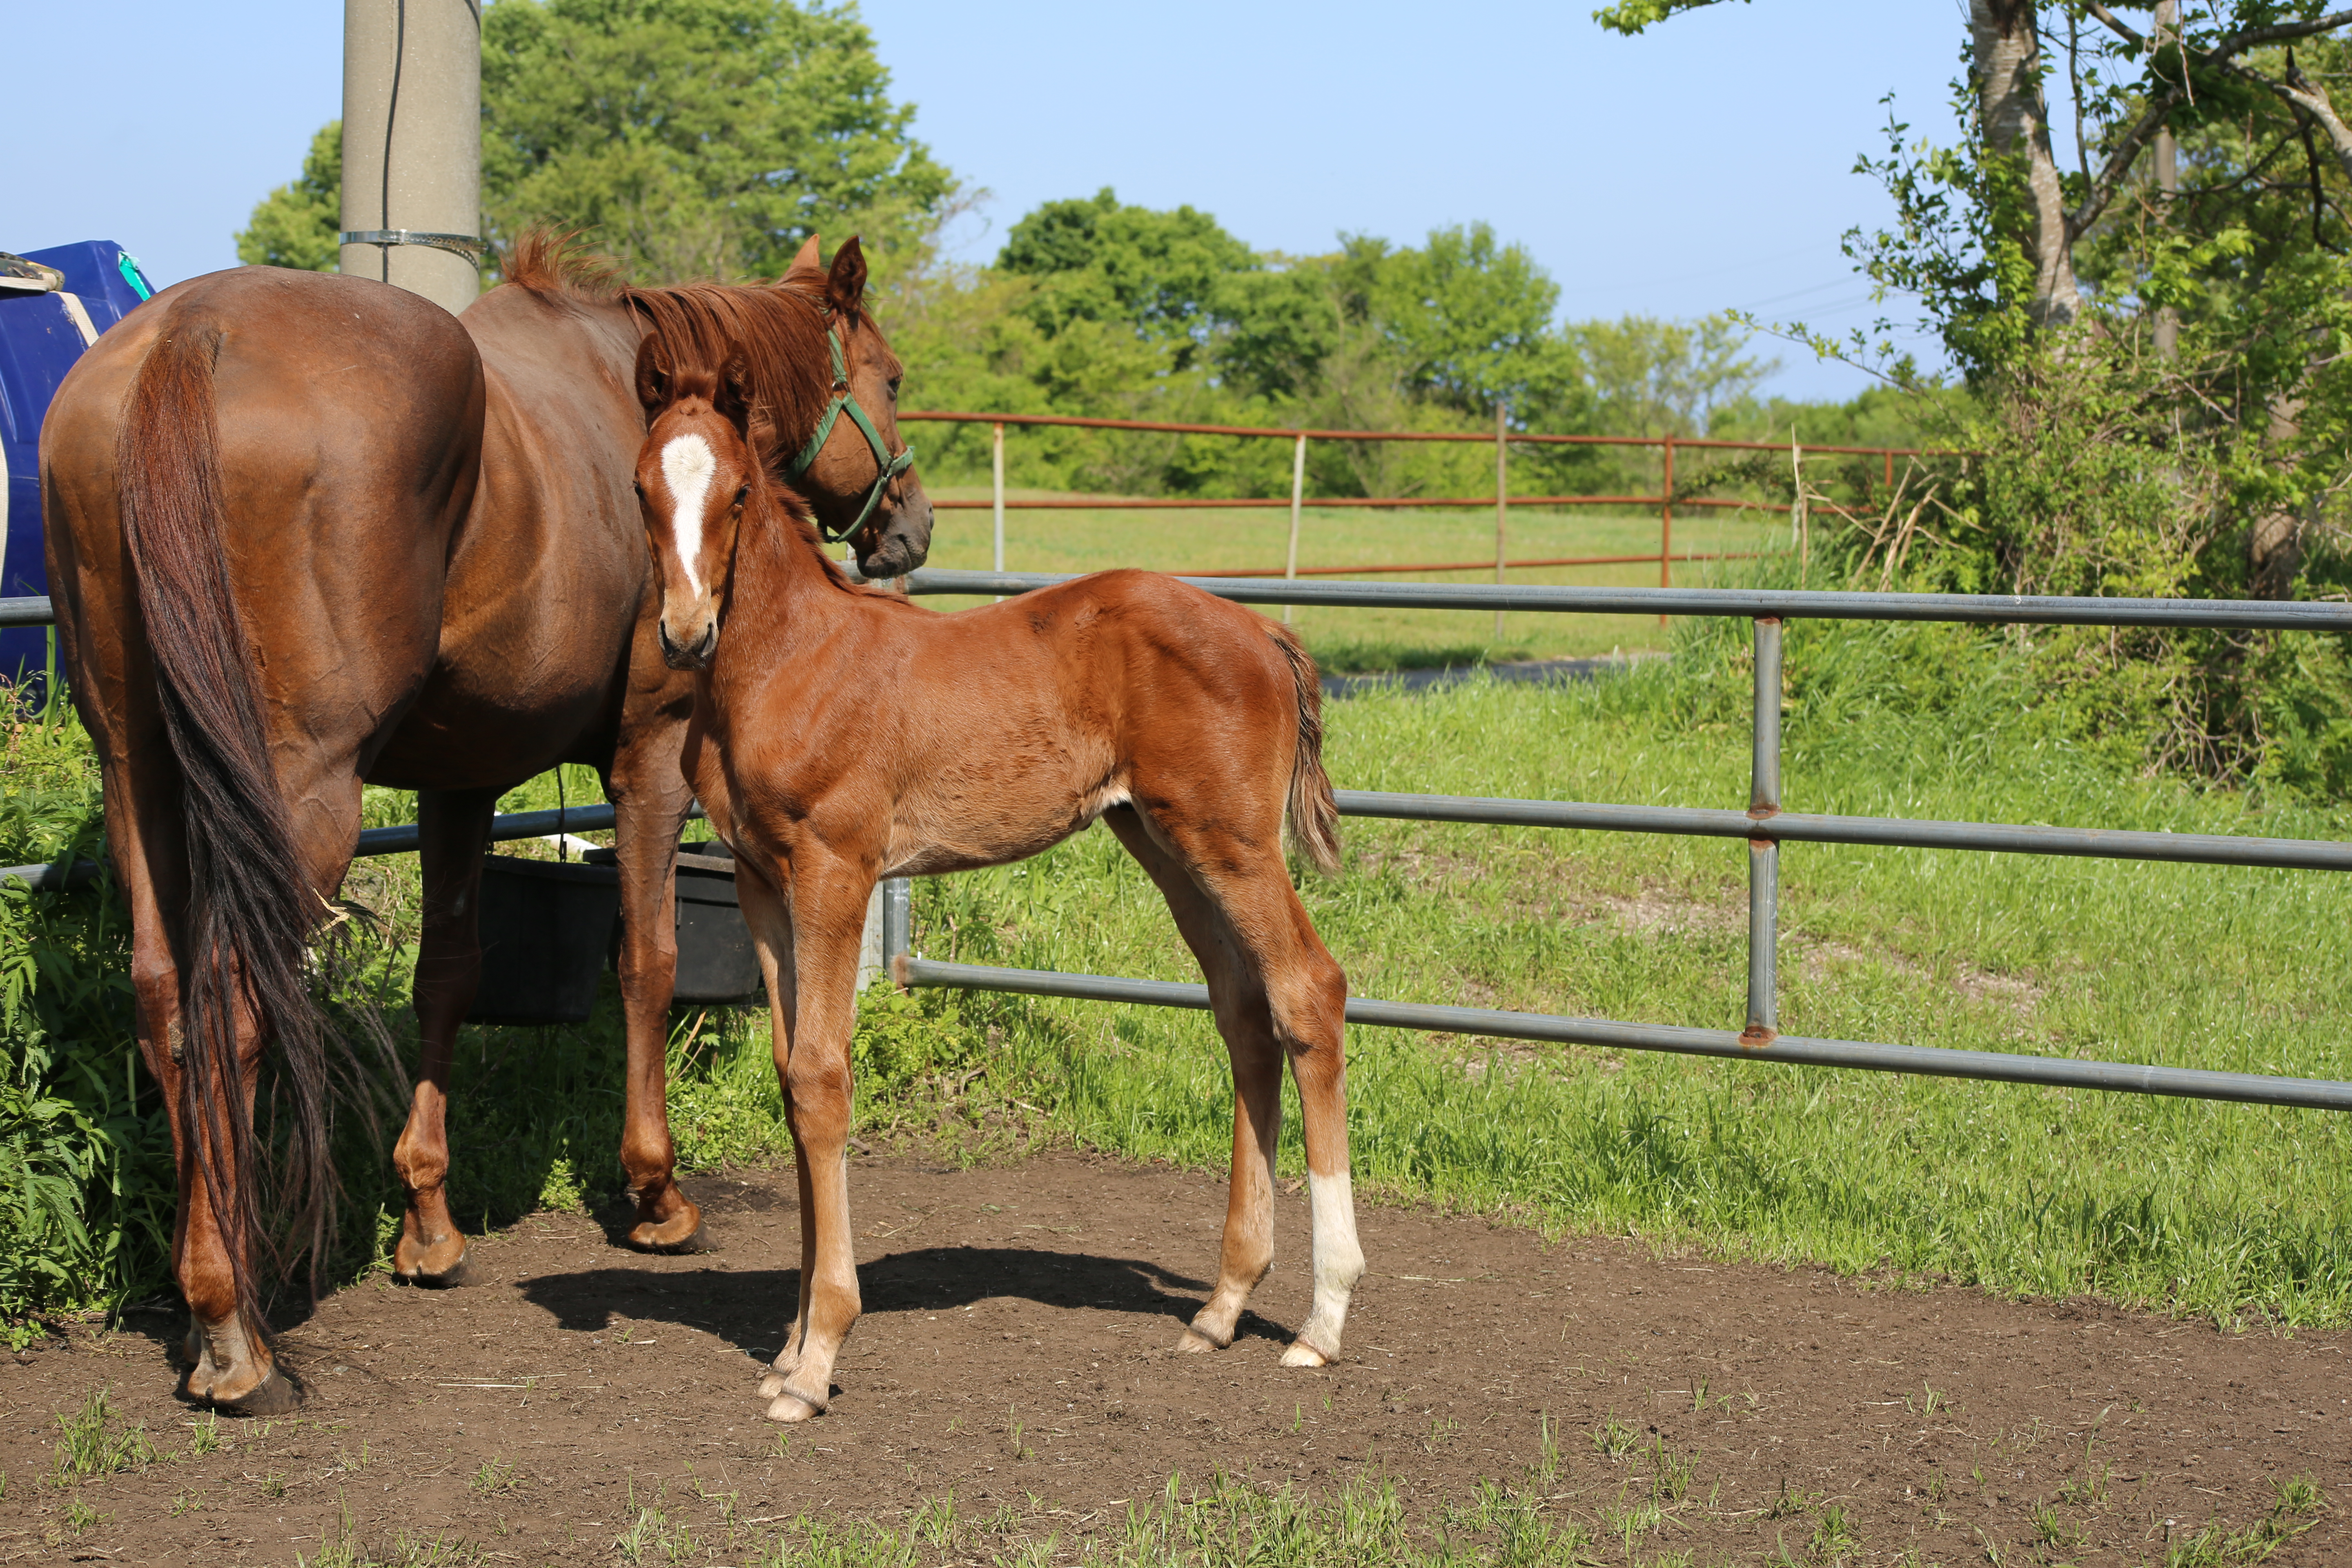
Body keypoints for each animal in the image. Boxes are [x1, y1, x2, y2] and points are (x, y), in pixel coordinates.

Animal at [635, 369, 1373, 1420]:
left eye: (736, 494)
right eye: (642, 488)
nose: (687, 632)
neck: (788, 660)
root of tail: (1264, 630)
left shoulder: (834, 869)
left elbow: (822, 1077)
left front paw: (816, 1360)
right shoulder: (759, 881)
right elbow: (788, 1075)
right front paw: (786, 1347)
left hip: (1231, 843)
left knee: (1309, 991)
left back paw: (1321, 1320)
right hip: (1162, 841)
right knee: (1244, 1011)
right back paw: (1223, 1305)